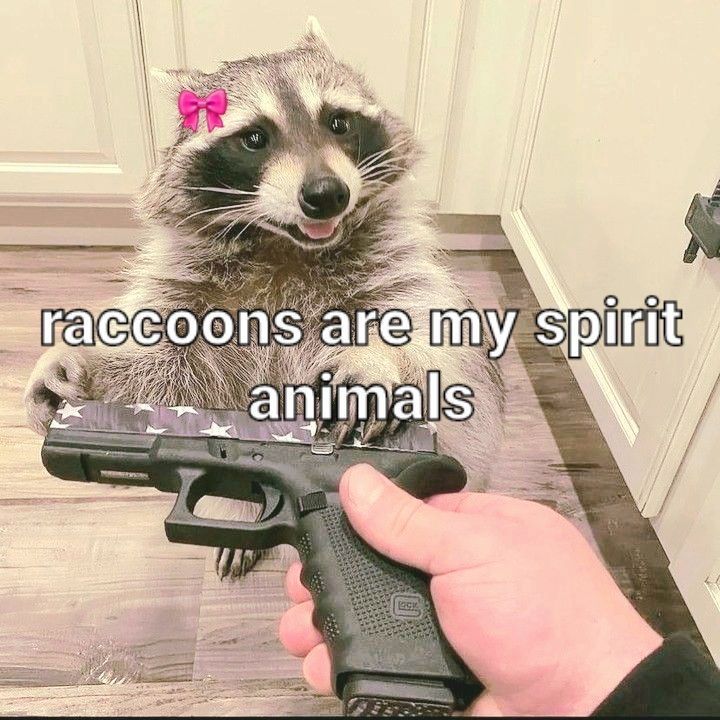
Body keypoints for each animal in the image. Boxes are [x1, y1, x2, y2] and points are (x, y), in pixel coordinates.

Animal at [25, 18, 505, 578]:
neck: (285, 246)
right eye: (255, 138)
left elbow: (441, 340)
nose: (326, 194)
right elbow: (166, 364)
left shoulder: (396, 262)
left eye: (338, 122)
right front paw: (81, 365)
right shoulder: (188, 289)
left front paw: (377, 358)